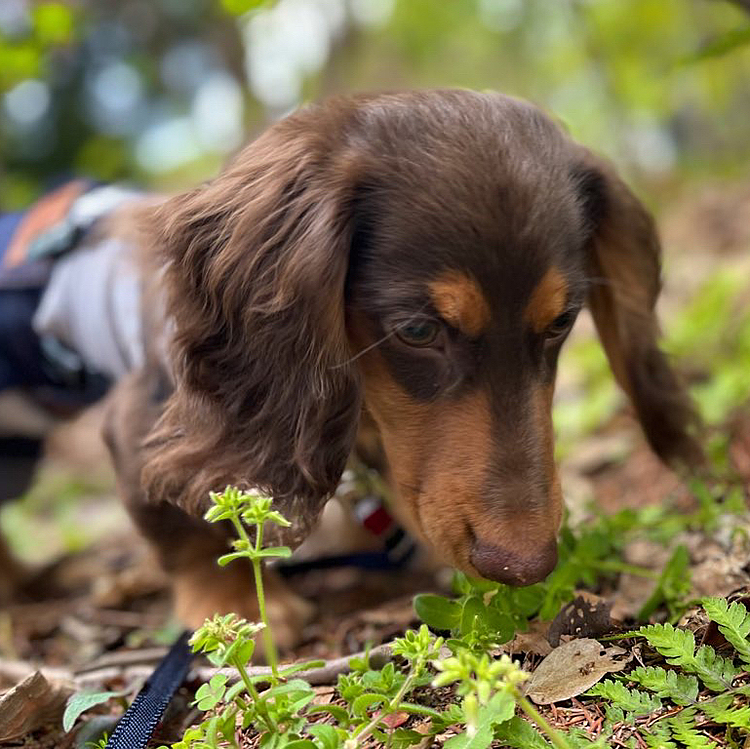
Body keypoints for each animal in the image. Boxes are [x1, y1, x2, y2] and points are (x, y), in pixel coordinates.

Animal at [4, 89, 704, 632]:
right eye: (418, 330)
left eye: (561, 322)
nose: (524, 564)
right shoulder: (143, 425)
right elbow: (183, 522)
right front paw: (235, 608)